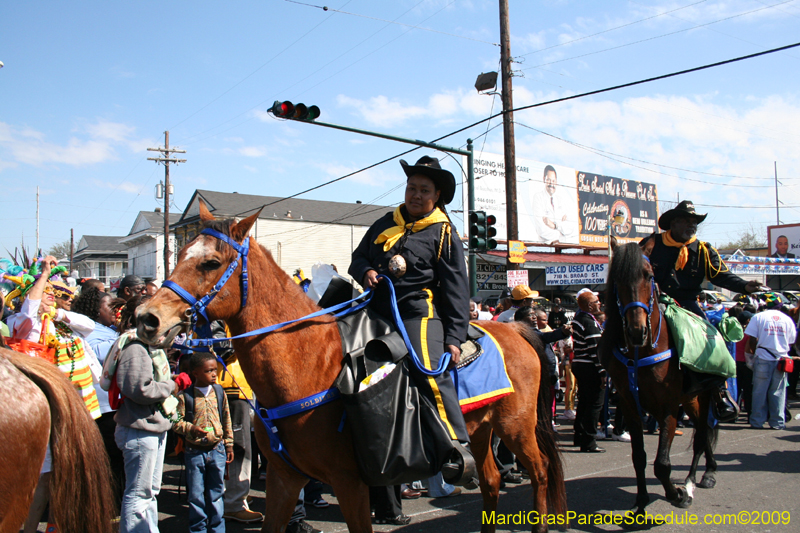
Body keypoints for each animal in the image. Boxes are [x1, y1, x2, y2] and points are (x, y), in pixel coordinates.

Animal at [138, 204, 564, 532]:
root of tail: (516, 330)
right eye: (180, 254)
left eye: (210, 262)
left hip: (516, 426)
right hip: (481, 428)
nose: (147, 318)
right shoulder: (284, 478)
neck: (310, 363)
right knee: (491, 481)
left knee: (540, 472)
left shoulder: (350, 483)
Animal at [600, 243, 720, 512]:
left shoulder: (668, 407)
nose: (636, 331)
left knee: (703, 433)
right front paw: (641, 501)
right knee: (702, 430)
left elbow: (662, 463)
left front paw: (677, 495)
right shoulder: (630, 405)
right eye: (617, 279)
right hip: (689, 399)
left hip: (705, 393)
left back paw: (699, 478)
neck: (640, 352)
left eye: (648, 275)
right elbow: (639, 457)